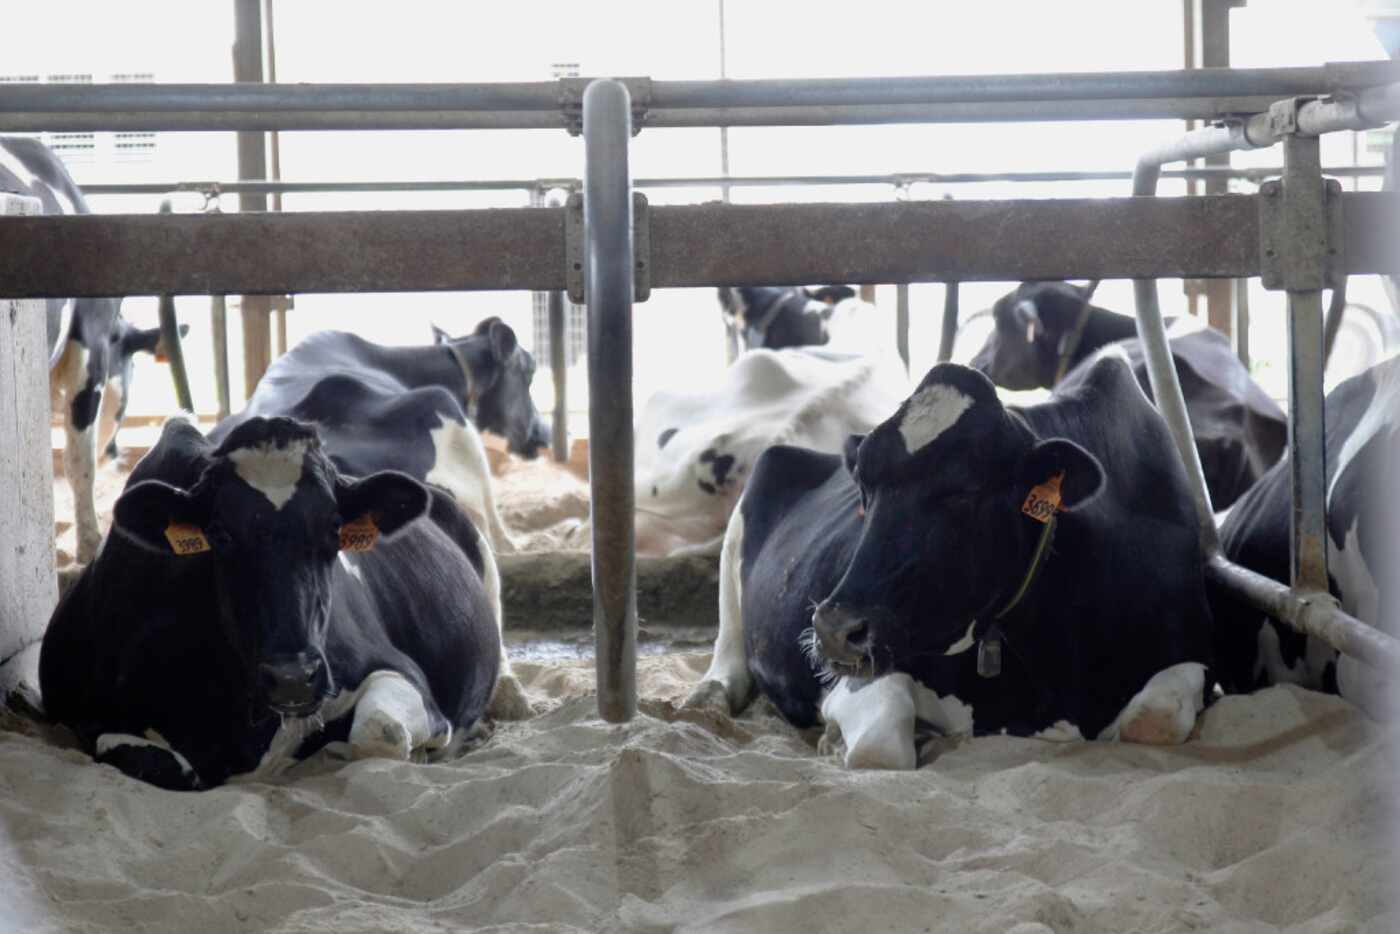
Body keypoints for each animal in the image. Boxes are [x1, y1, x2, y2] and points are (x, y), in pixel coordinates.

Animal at [36, 417, 509, 789]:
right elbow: (157, 763)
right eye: (220, 533)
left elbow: (381, 730)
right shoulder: (85, 714)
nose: (292, 678)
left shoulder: (398, 671)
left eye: (334, 528)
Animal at [688, 354, 1215, 772]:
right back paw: (706, 697)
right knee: (729, 650)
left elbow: (1154, 719)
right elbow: (882, 745)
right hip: (748, 510)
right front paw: (835, 739)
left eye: (965, 492)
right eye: (863, 489)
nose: (834, 629)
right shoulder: (862, 673)